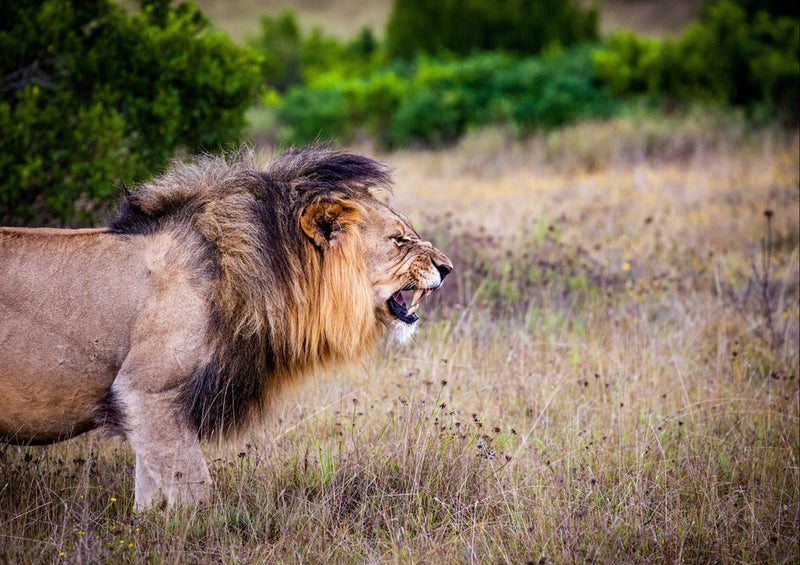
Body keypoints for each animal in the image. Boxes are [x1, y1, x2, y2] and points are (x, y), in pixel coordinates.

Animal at [0, 144, 450, 506]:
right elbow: (194, 491)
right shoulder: (144, 391)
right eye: (399, 240)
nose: (447, 268)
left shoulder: (149, 408)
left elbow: (151, 497)